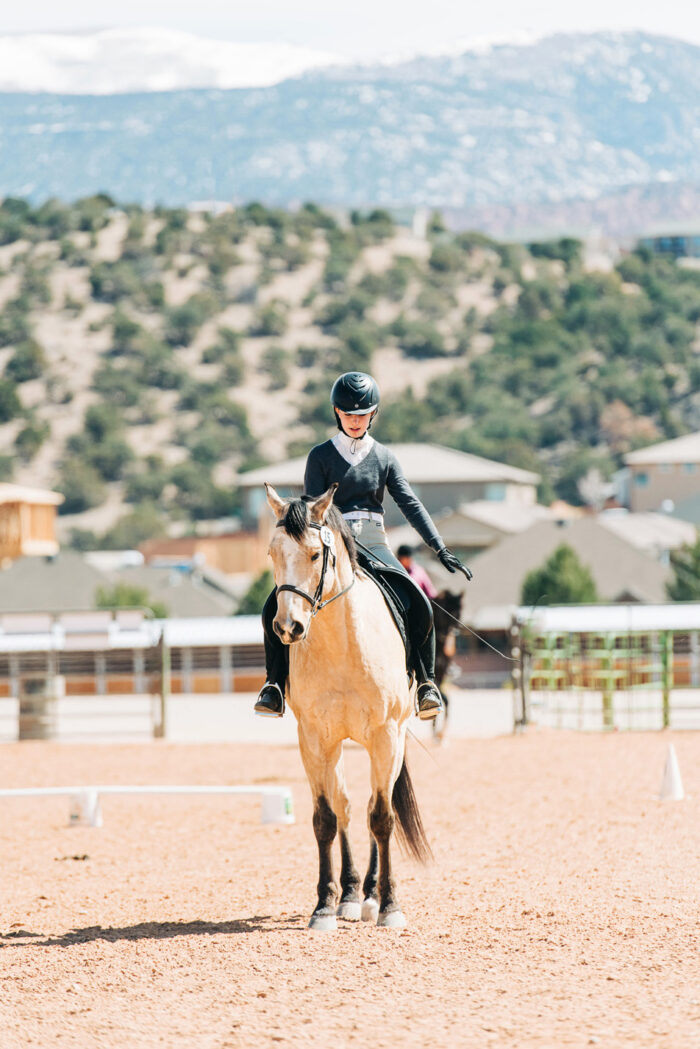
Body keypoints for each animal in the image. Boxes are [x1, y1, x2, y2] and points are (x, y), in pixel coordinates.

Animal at [264, 481, 431, 931]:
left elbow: (382, 817)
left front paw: (390, 906)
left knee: (378, 805)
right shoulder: (314, 740)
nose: (288, 628)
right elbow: (326, 817)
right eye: (272, 553)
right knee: (346, 805)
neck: (340, 645)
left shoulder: (385, 736)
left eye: (314, 554)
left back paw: (371, 896)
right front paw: (325, 906)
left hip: (391, 739)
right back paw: (353, 894)